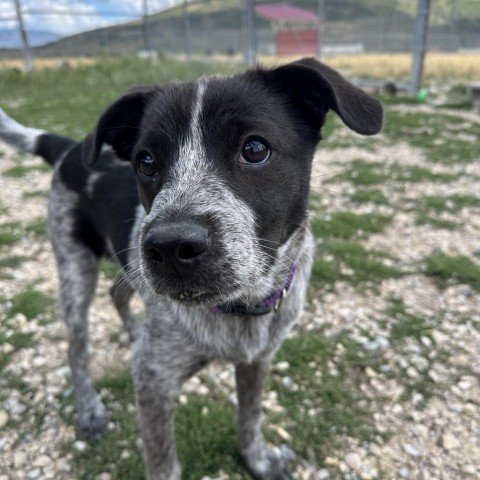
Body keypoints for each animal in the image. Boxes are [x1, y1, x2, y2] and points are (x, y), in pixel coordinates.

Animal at [0, 60, 382, 480]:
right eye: (145, 161)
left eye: (255, 149)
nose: (169, 248)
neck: (240, 308)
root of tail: (69, 149)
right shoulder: (154, 383)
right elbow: (164, 464)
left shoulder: (258, 359)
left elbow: (250, 416)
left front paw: (257, 460)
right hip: (75, 267)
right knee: (76, 346)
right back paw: (90, 410)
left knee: (116, 294)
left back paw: (134, 334)